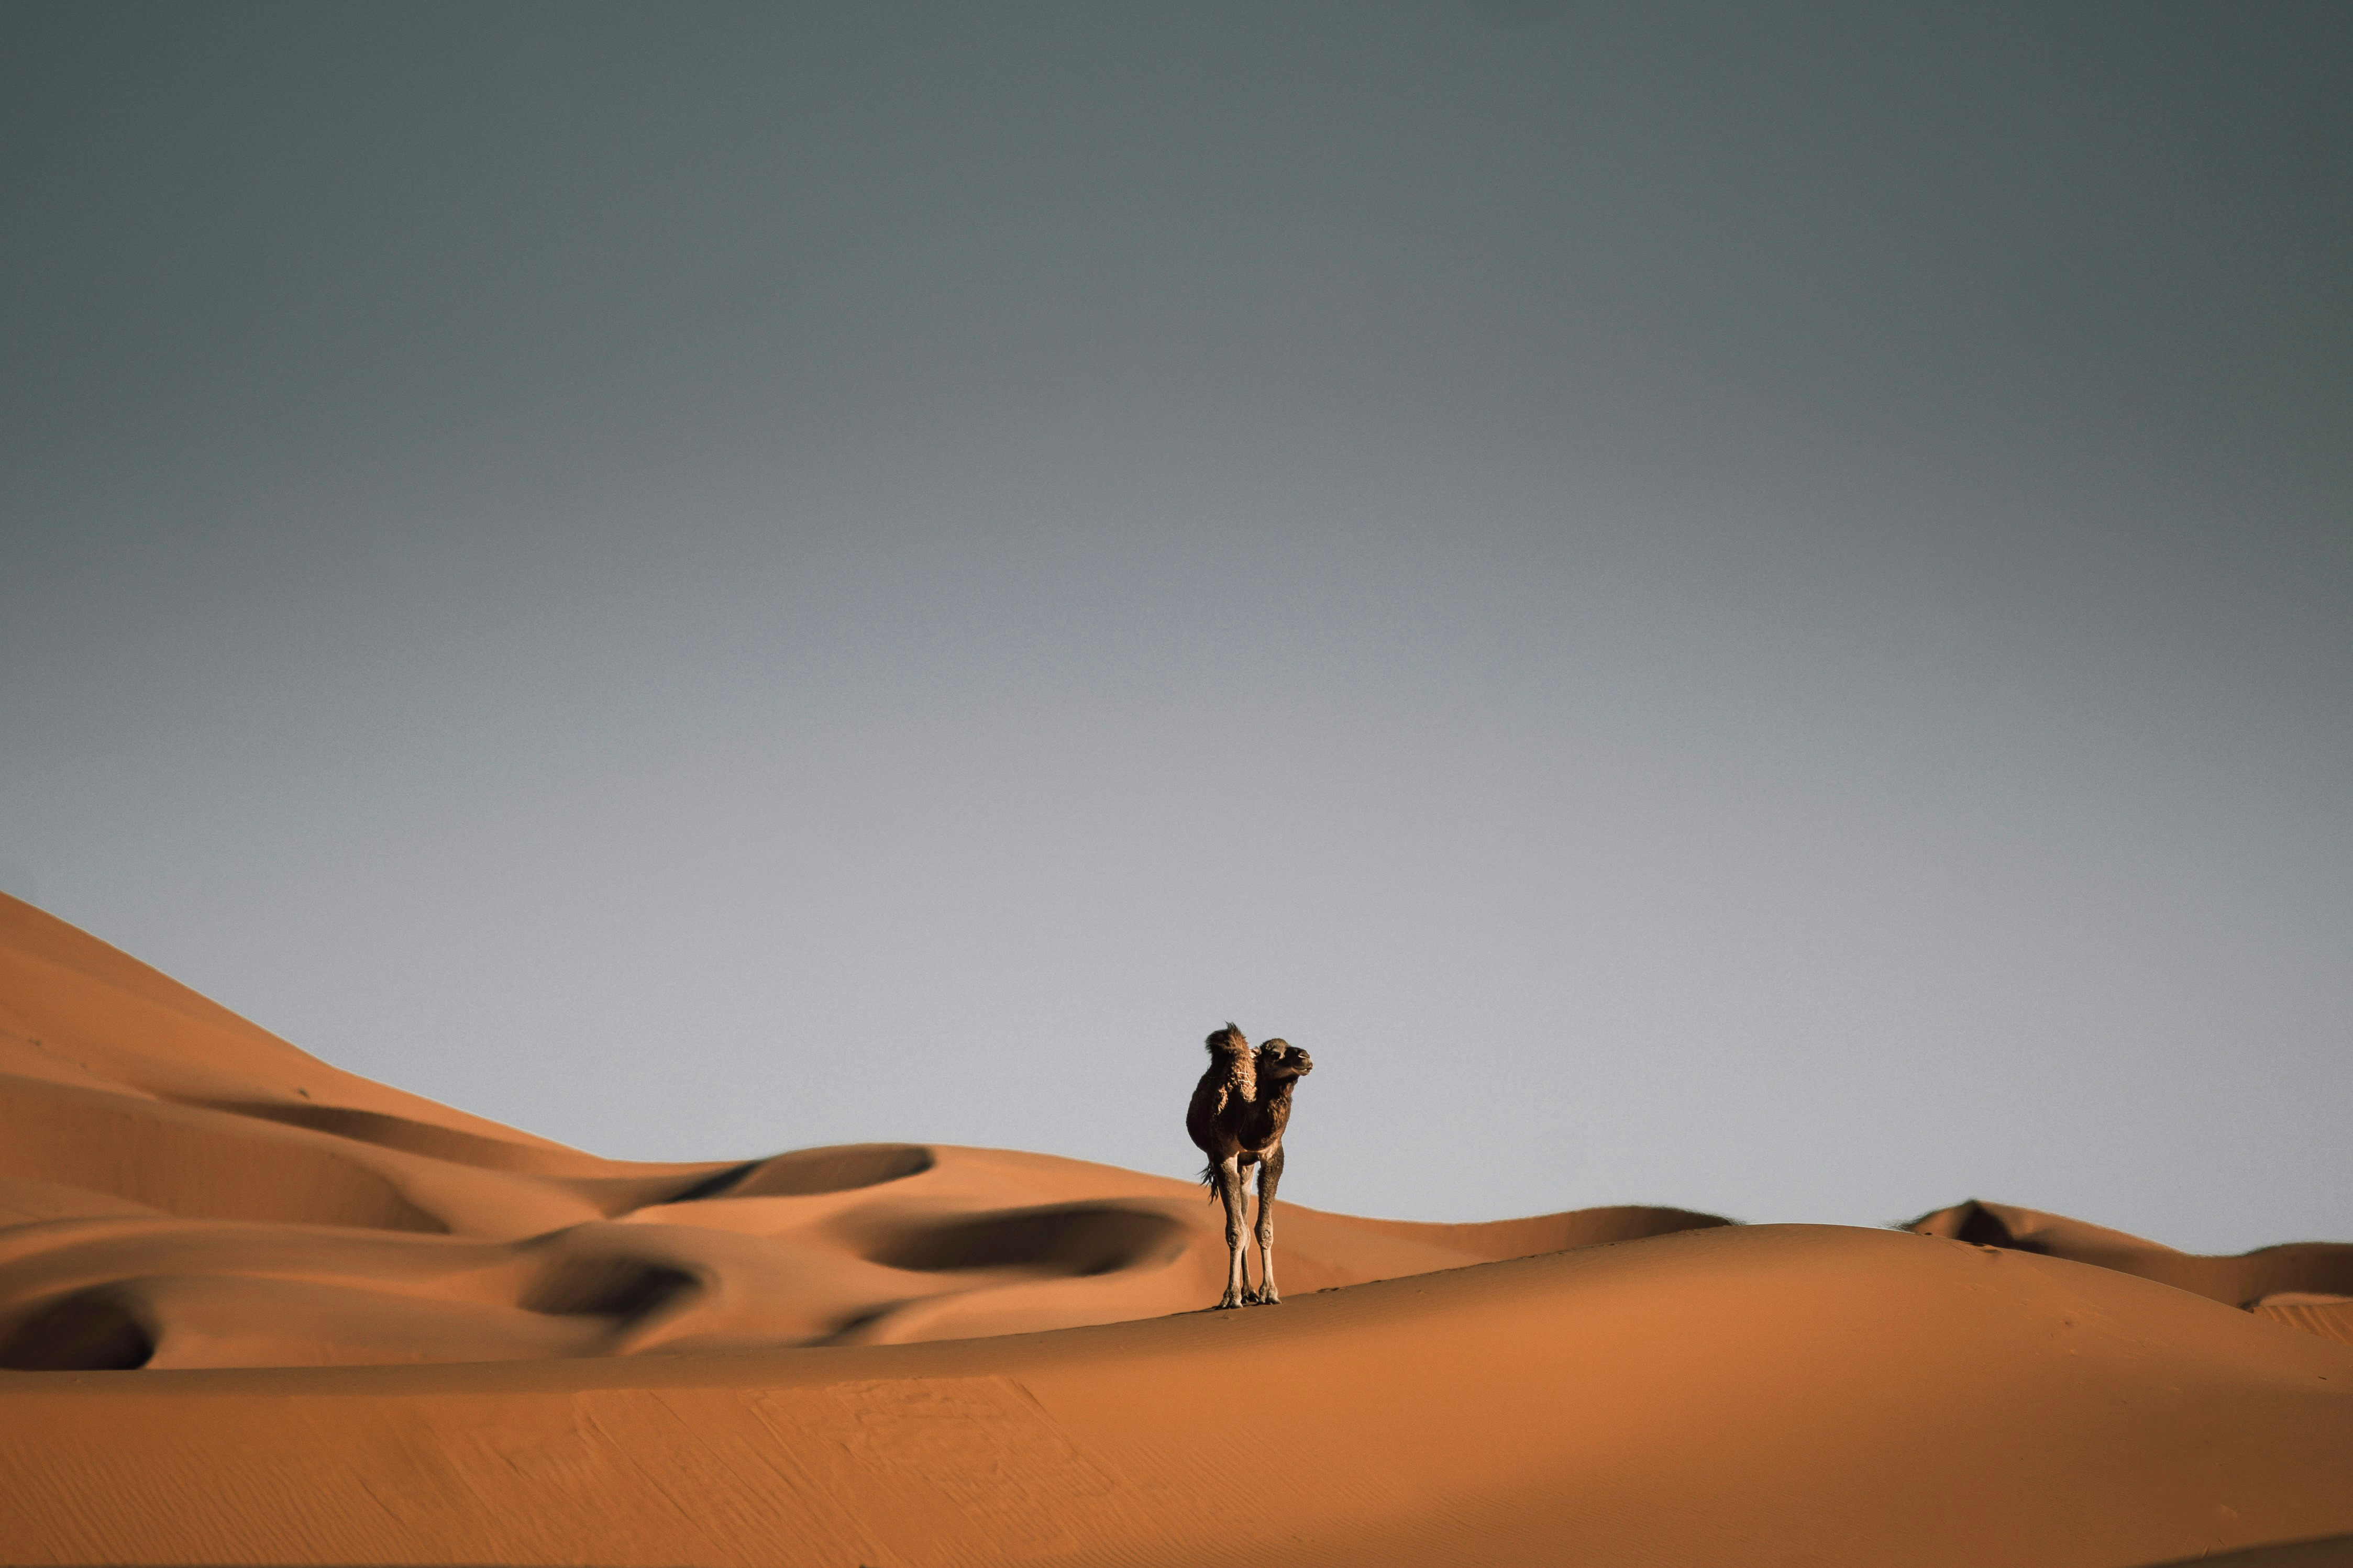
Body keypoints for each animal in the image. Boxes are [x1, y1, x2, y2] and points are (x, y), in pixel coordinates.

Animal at [1184, 1023, 1315, 1308]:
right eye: (1275, 1054)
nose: (1305, 1057)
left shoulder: (1272, 1156)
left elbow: (1263, 1229)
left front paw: (1270, 1293)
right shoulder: (1223, 1155)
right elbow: (1235, 1231)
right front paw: (1230, 1296)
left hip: (1247, 1167)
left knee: (1245, 1216)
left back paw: (1250, 1291)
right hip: (1226, 1161)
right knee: (1239, 1224)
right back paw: (1242, 1292)